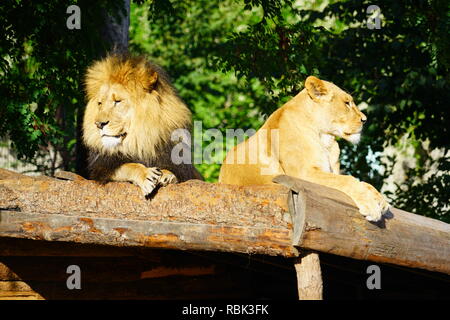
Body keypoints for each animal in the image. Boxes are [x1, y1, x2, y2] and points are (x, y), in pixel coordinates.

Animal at [82, 54, 202, 195]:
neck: (141, 140)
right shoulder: (100, 169)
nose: (98, 124)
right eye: (100, 103)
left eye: (117, 101)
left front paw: (166, 175)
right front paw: (146, 175)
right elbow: (127, 166)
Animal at [220, 76, 388, 221]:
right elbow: (348, 180)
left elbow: (362, 183)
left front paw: (381, 200)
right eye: (347, 103)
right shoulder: (303, 174)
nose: (365, 120)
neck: (325, 139)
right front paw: (372, 206)